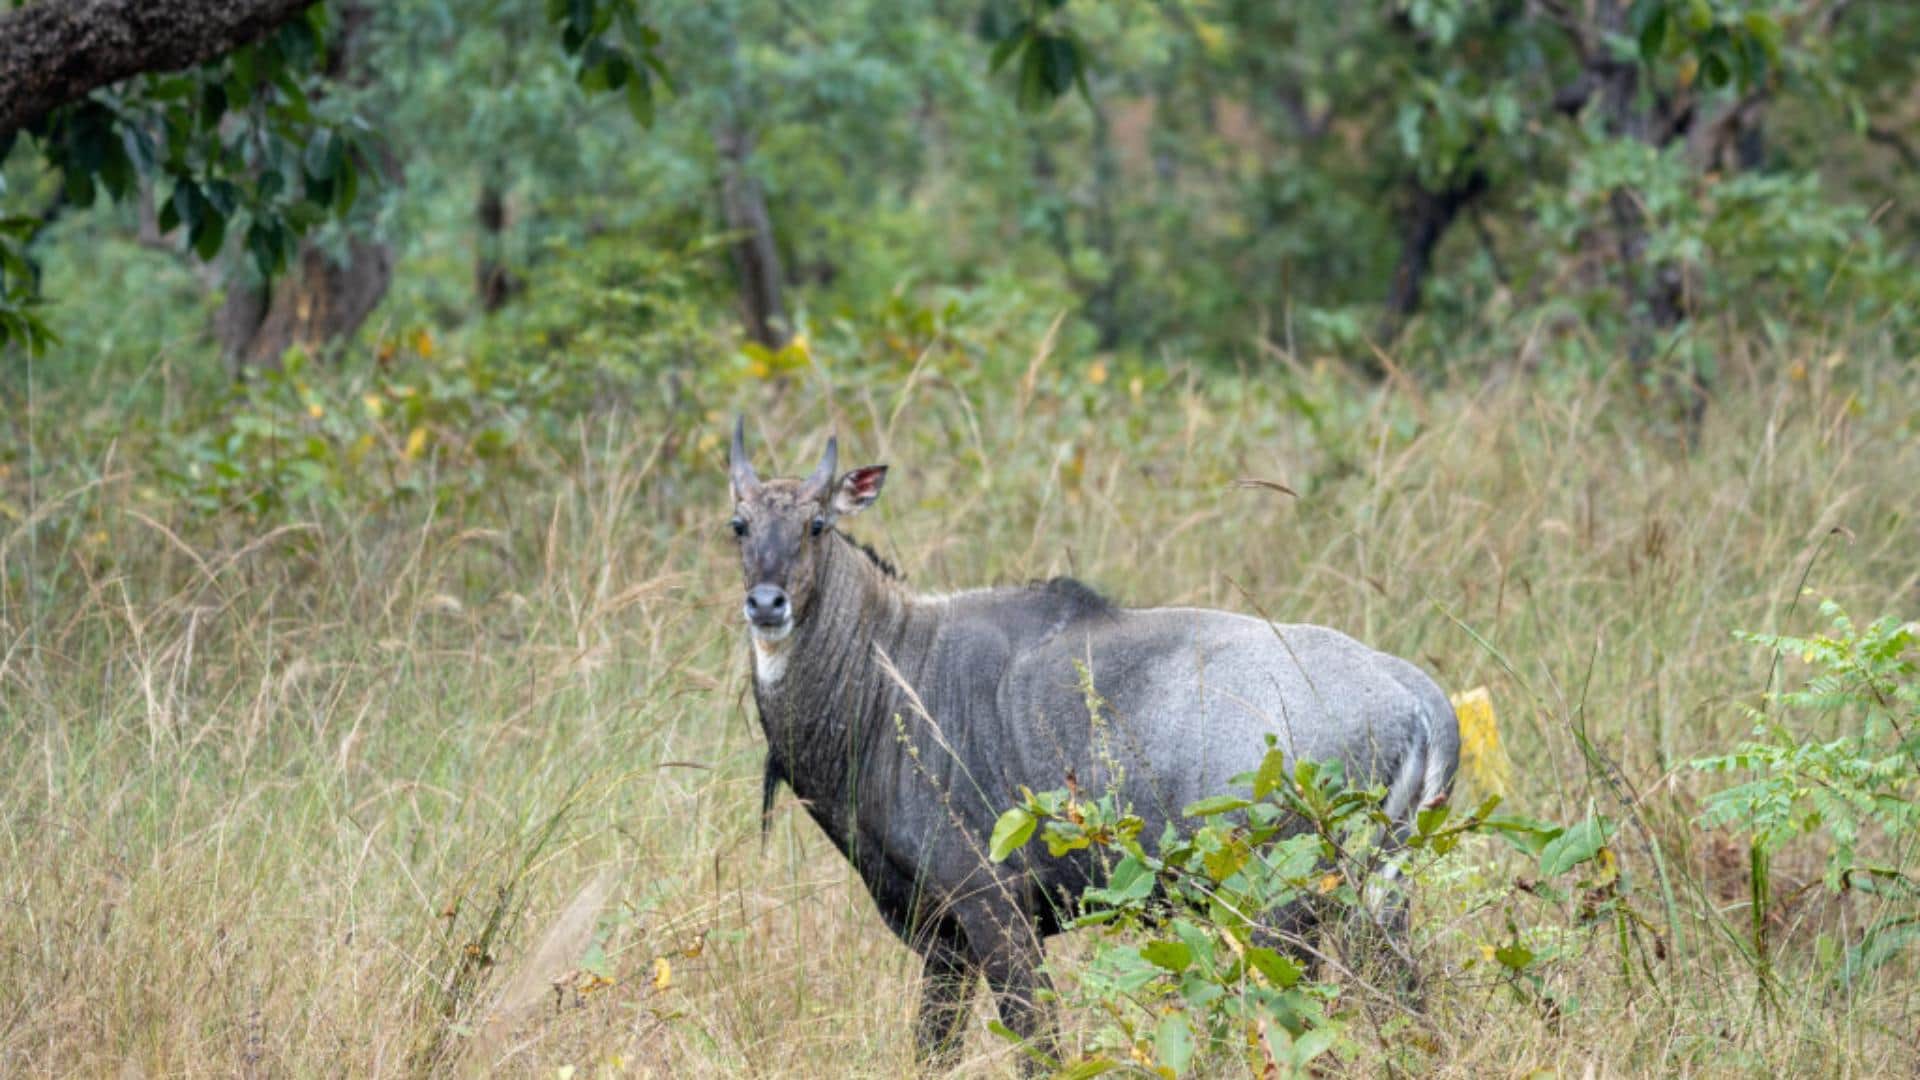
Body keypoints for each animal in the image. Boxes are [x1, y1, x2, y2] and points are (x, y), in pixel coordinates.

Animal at [726, 419, 1458, 1065]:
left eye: (817, 524)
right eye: (738, 525)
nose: (767, 605)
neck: (889, 669)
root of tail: (1416, 697)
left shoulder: (993, 906)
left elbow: (1038, 1043)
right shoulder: (942, 939)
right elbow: (933, 1050)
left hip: (1285, 909)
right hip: (1381, 898)